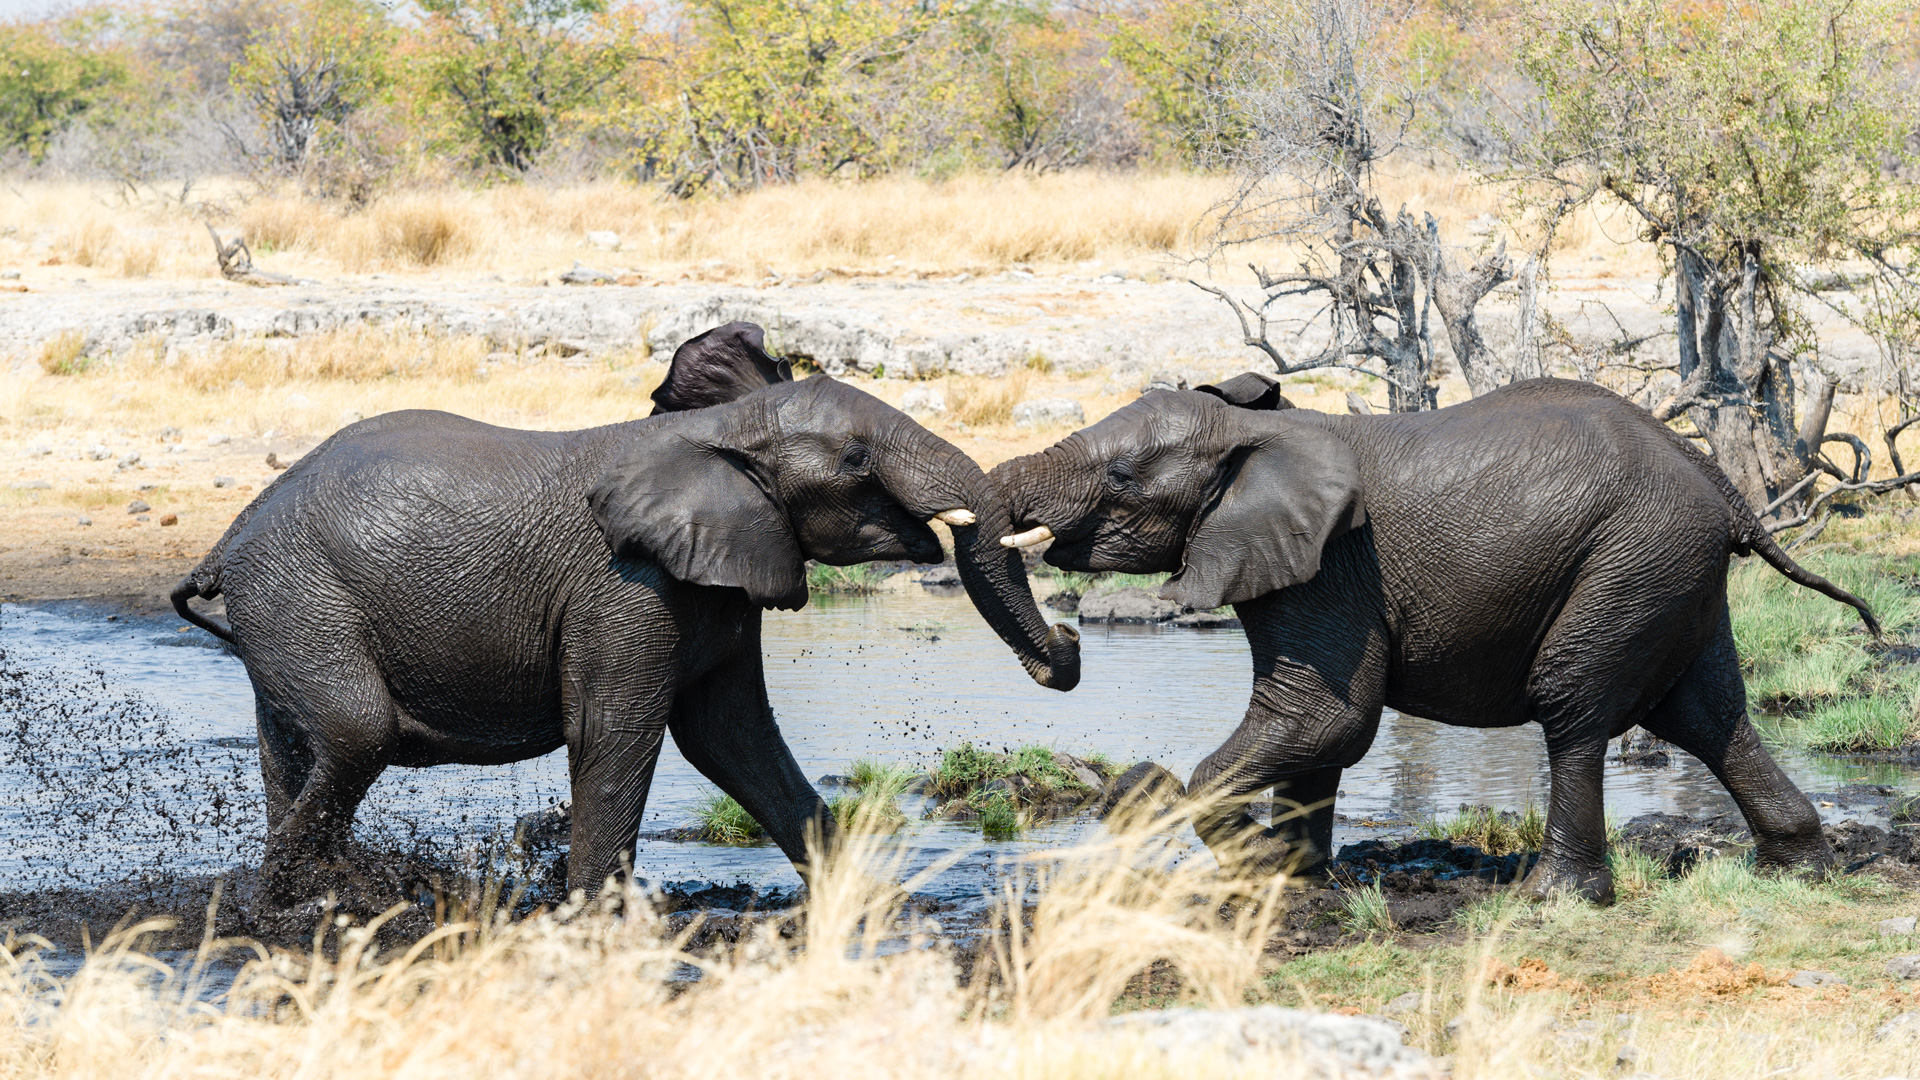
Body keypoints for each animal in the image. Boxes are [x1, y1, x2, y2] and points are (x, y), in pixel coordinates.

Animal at [174, 322, 1082, 895]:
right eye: (858, 459)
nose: (1068, 642)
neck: (725, 428)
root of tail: (228, 536)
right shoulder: (625, 585)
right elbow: (617, 730)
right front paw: (594, 924)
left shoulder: (721, 577)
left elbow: (729, 736)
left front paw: (860, 903)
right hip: (301, 596)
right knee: (358, 732)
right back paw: (285, 899)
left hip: (283, 608)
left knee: (293, 750)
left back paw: (304, 904)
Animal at [990, 374, 1873, 895]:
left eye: (1119, 477)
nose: (1069, 646)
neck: (1255, 431)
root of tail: (1723, 484)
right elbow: (1318, 734)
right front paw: (1299, 880)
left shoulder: (1335, 567)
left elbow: (1324, 719)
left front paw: (1253, 867)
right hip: (1672, 570)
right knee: (1708, 715)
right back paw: (1799, 873)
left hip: (1632, 557)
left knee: (1575, 703)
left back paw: (1553, 899)